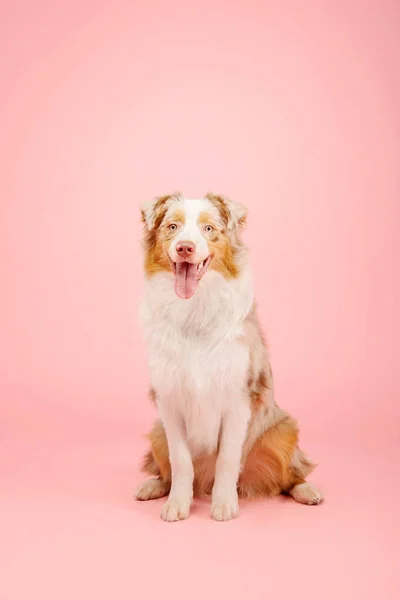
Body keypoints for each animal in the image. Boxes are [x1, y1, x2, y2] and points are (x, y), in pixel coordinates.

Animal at [134, 193, 322, 520]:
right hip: (157, 431)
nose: (185, 247)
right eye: (173, 226)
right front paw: (177, 503)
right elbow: (180, 461)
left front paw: (224, 504)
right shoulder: (169, 400)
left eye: (208, 228)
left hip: (283, 430)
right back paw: (154, 486)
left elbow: (227, 458)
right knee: (166, 469)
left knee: (290, 475)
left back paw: (307, 491)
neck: (194, 309)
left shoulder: (238, 397)